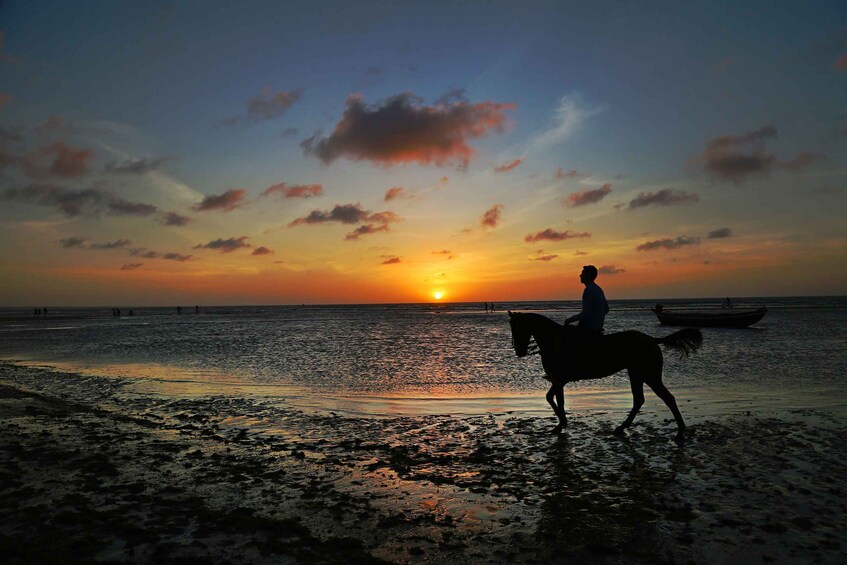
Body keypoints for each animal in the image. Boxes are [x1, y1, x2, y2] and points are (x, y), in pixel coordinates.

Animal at [510, 310, 704, 442]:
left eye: (518, 328)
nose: (519, 352)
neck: (553, 341)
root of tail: (652, 339)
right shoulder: (558, 381)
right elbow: (553, 398)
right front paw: (562, 423)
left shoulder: (559, 380)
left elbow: (555, 399)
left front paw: (561, 423)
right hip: (636, 374)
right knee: (639, 400)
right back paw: (622, 427)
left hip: (650, 375)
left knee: (668, 398)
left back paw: (680, 431)